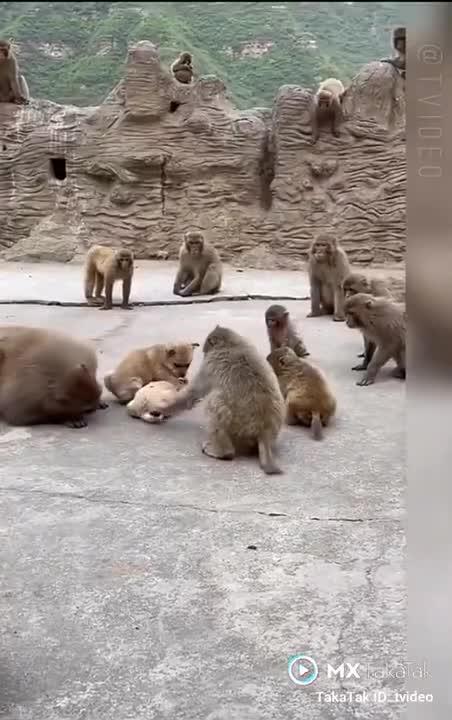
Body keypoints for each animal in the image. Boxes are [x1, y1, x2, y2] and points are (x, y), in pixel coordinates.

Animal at [157, 326, 286, 475]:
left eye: (206, 350)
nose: (204, 353)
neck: (233, 343)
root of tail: (265, 431)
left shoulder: (210, 363)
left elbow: (193, 393)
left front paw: (162, 409)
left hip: (239, 426)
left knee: (214, 403)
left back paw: (223, 452)